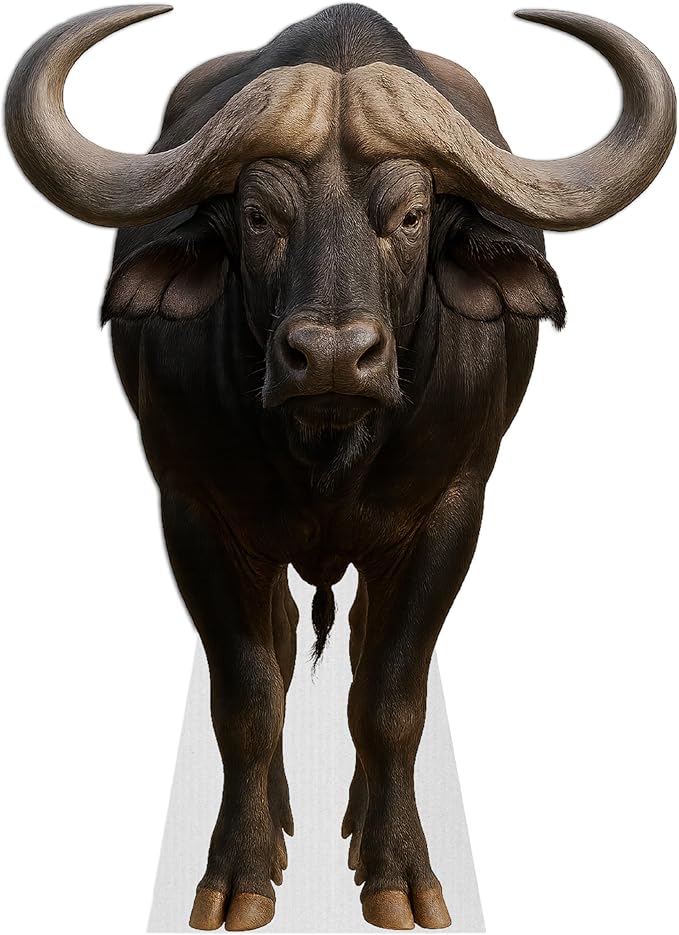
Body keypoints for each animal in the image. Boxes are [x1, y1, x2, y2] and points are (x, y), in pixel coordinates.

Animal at [5, 3, 675, 931]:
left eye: (411, 215)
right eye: (258, 215)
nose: (329, 356)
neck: (327, 443)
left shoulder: (450, 511)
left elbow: (390, 696)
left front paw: (399, 873)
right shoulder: (193, 510)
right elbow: (248, 694)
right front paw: (239, 872)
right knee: (288, 644)